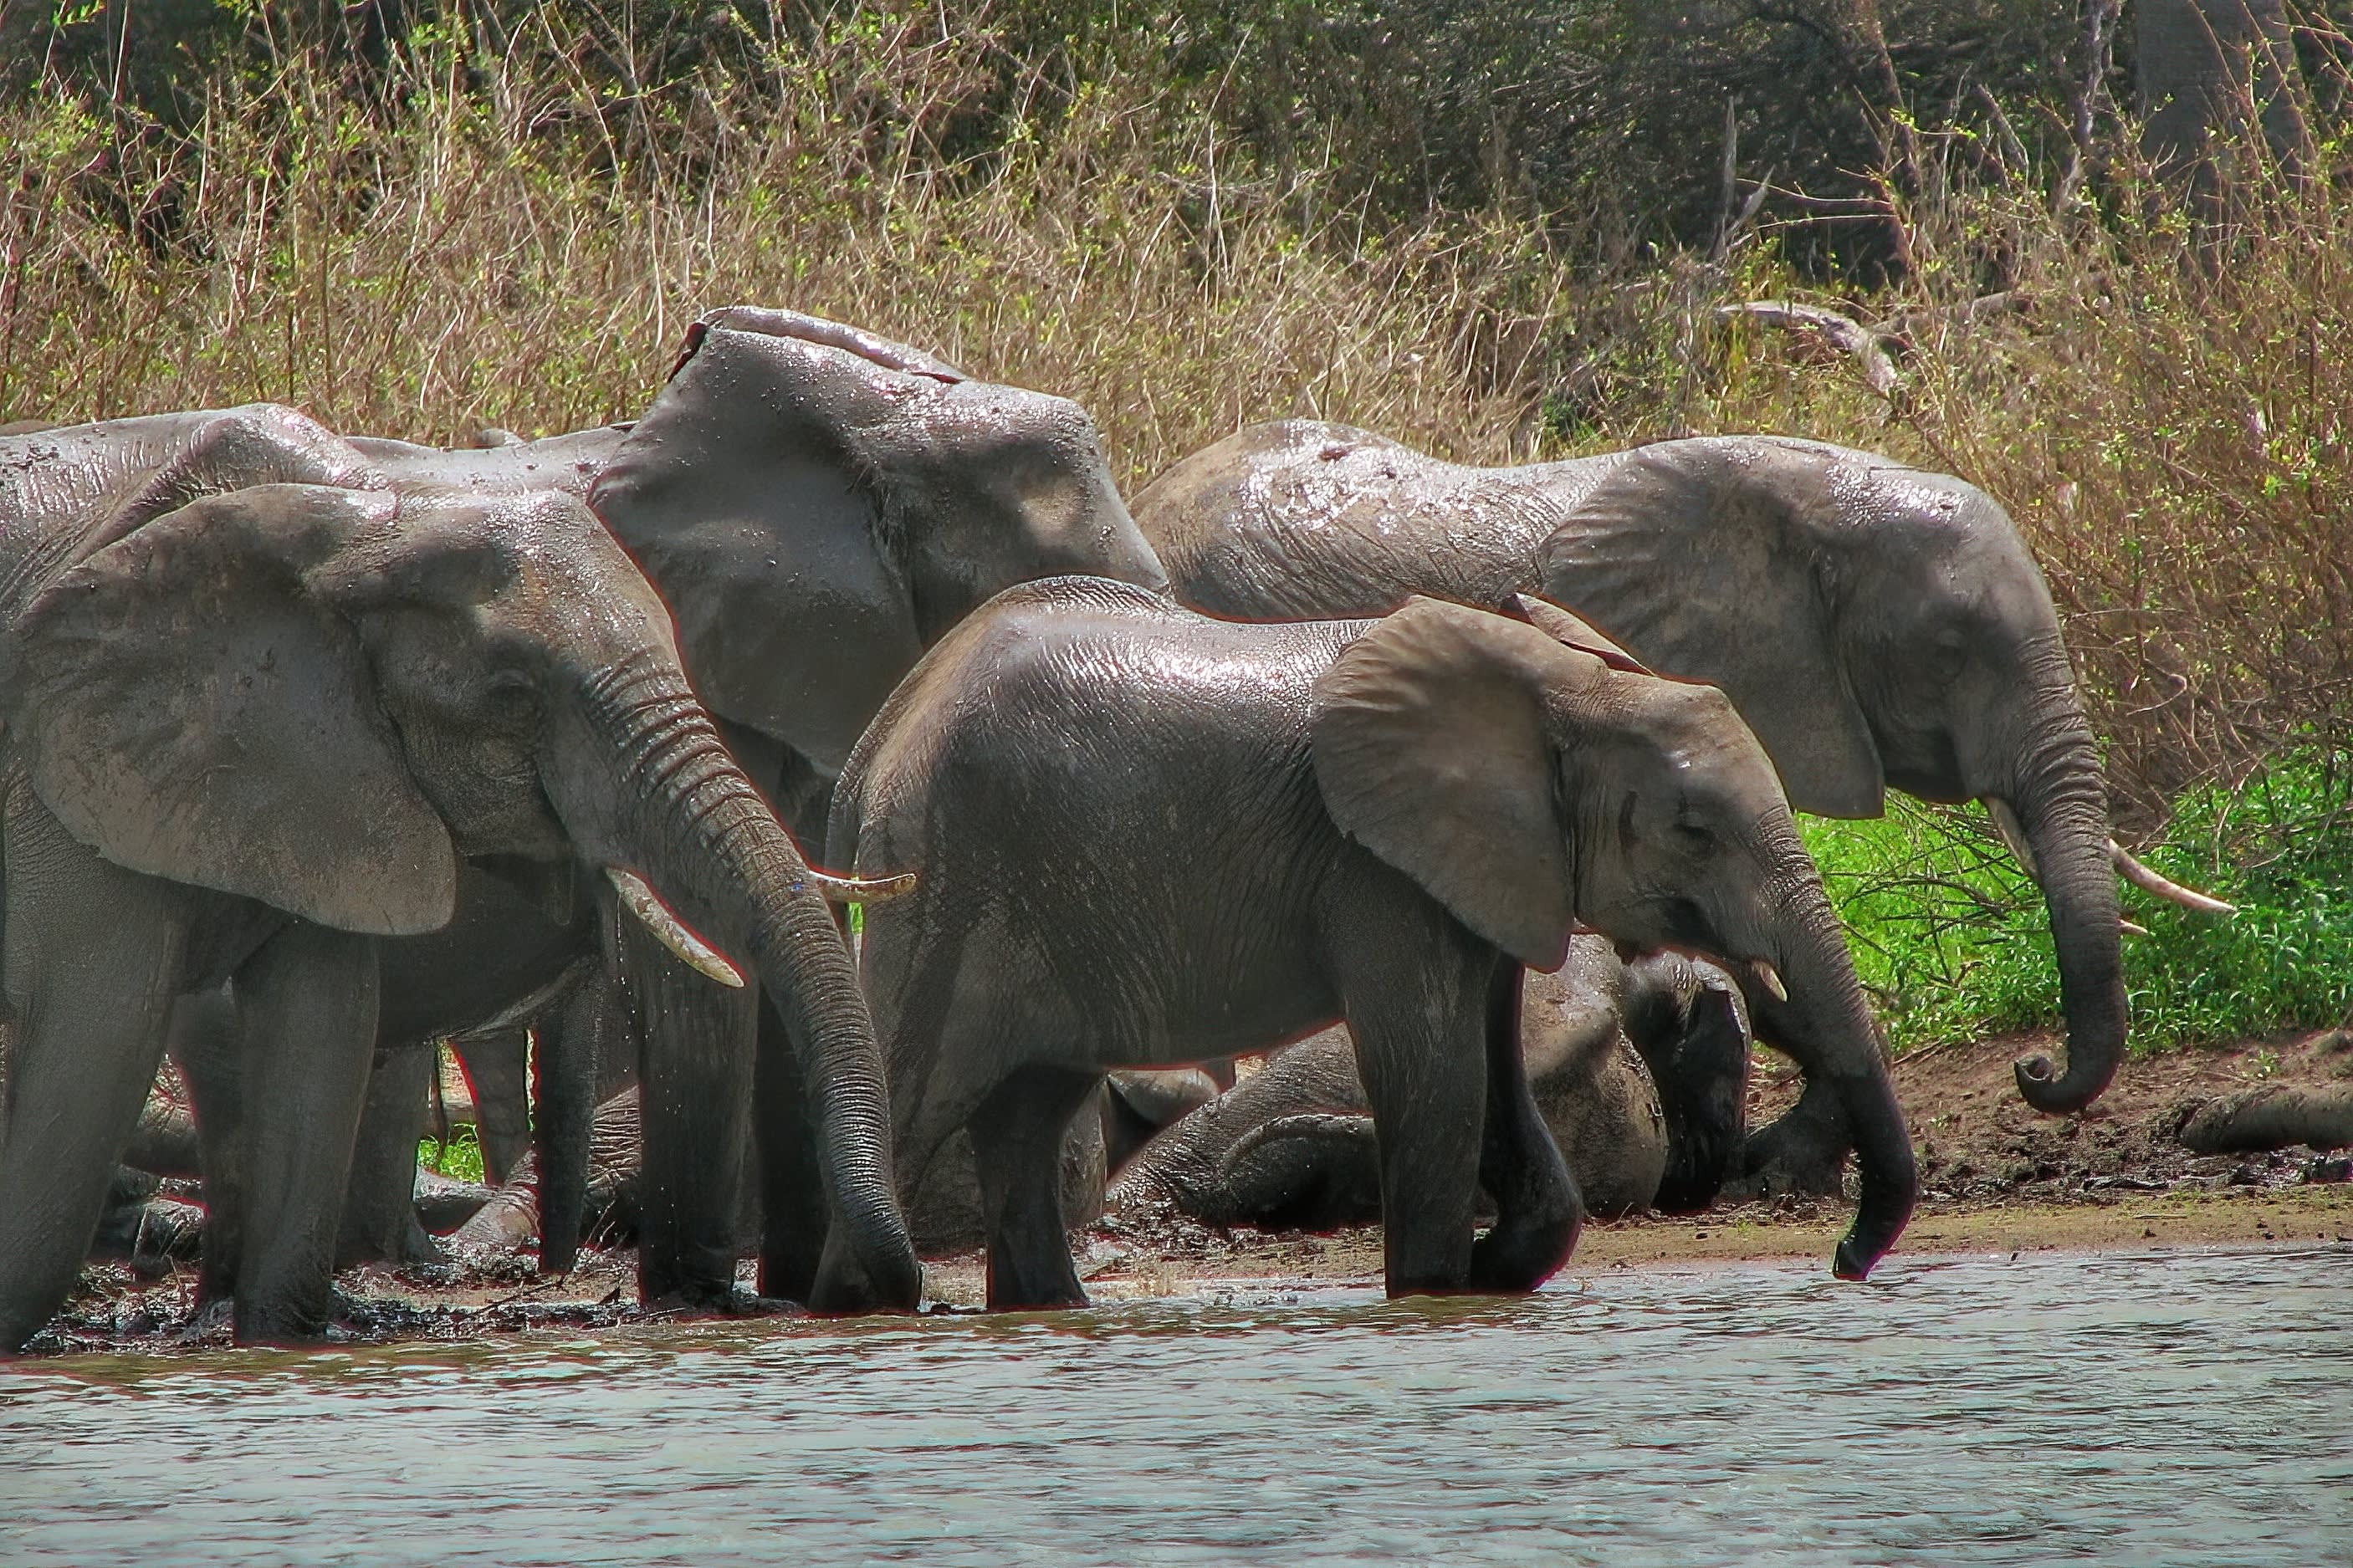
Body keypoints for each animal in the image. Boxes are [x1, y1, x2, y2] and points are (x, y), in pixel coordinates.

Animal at [0, 405, 918, 1350]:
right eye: (513, 693)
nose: (890, 1293)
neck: (363, 530)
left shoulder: (322, 773)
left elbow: (319, 1032)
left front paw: (276, 1344)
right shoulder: (69, 770)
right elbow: (93, 1048)